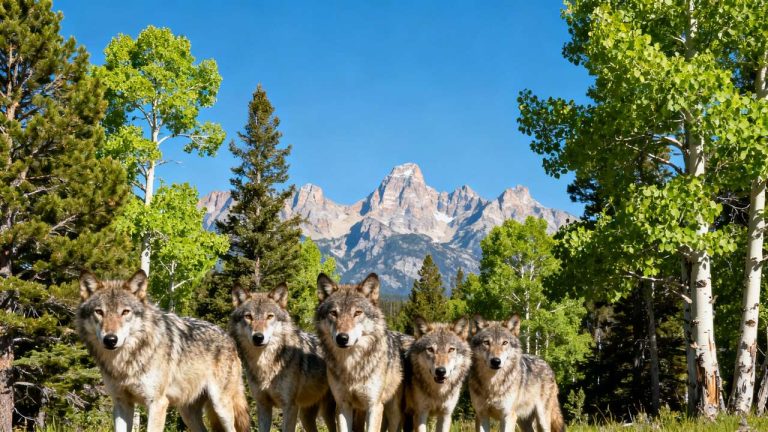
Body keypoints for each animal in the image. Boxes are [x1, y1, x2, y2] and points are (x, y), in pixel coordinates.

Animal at [76, 269, 250, 432]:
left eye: (125, 312)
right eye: (99, 312)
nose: (110, 339)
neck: (124, 361)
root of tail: (229, 338)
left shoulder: (157, 403)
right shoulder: (121, 402)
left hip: (220, 407)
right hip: (187, 413)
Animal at [230, 282, 336, 432]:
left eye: (270, 316)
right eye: (248, 316)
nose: (258, 337)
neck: (265, 365)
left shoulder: (289, 406)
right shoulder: (263, 405)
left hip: (329, 411)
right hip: (306, 416)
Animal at [315, 272, 413, 432]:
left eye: (357, 313)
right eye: (333, 313)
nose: (342, 338)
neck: (351, 364)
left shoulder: (374, 406)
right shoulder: (343, 405)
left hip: (393, 412)